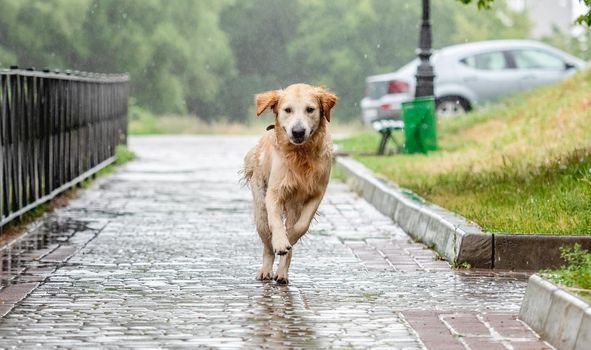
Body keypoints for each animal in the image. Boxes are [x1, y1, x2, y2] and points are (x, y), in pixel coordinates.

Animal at [244, 84, 338, 284]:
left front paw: (290, 239)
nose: (298, 131)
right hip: (260, 210)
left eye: (310, 109)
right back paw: (266, 270)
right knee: (267, 244)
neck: (300, 154)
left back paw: (282, 274)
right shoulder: (274, 192)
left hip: (294, 207)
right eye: (287, 110)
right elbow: (275, 223)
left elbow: (301, 226)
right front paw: (280, 242)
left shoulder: (317, 192)